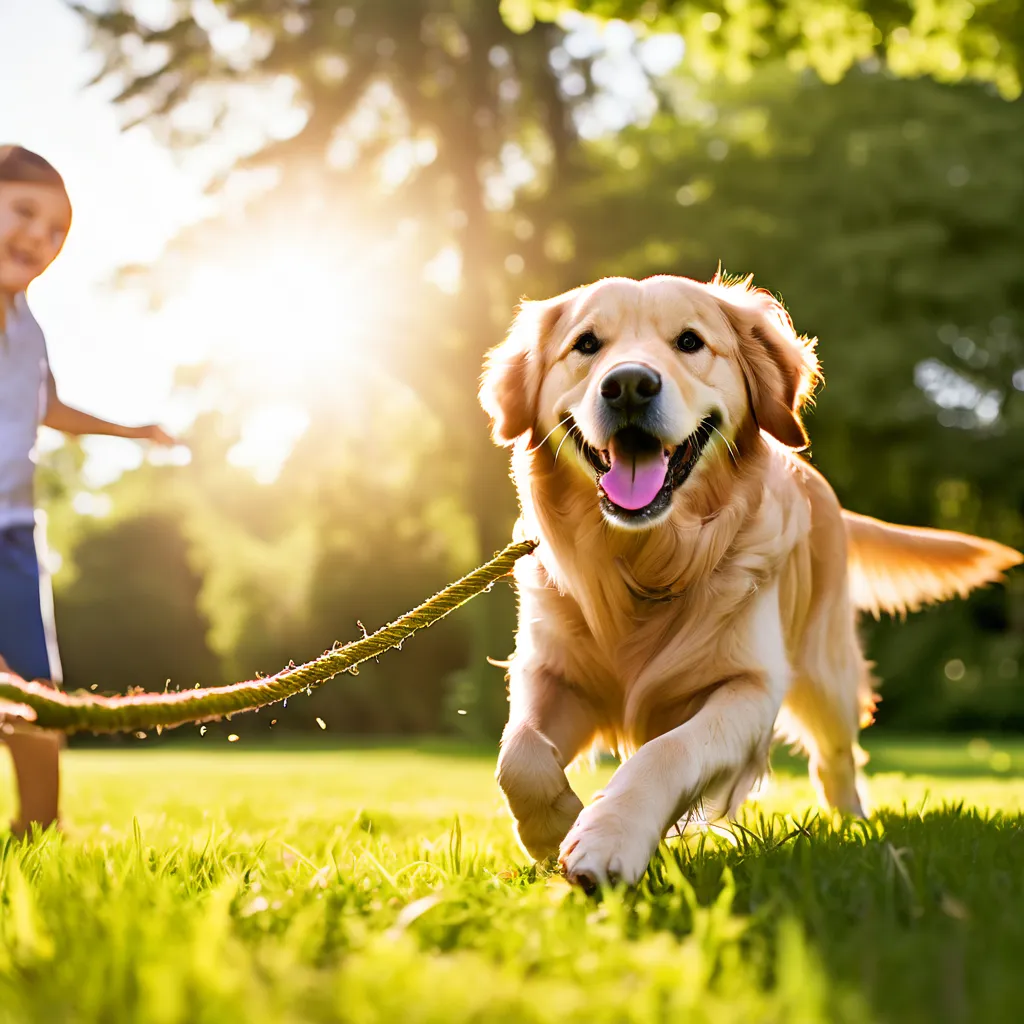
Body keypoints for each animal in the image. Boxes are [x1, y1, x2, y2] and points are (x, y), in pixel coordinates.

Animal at [479, 272, 1024, 888]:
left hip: (827, 672)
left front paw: (610, 833)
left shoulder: (750, 687)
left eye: (690, 342)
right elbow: (518, 752)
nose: (629, 386)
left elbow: (668, 750)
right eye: (587, 345)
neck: (648, 561)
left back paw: (857, 831)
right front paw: (554, 826)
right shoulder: (549, 670)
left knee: (836, 758)